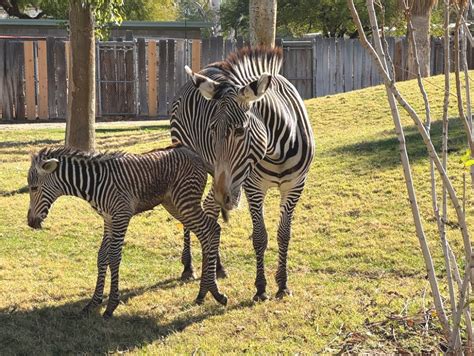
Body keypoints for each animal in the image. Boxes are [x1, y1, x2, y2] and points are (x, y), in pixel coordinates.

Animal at [27, 143, 228, 318]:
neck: (94, 182)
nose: (30, 222)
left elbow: (114, 257)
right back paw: (203, 292)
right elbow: (102, 256)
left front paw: (111, 306)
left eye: (34, 188)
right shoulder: (108, 219)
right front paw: (94, 302)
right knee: (205, 235)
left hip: (185, 202)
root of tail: (194, 154)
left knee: (212, 229)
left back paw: (215, 291)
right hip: (175, 205)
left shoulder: (121, 216)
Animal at [171, 46, 314, 300]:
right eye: (211, 129)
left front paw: (283, 285)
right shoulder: (253, 187)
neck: (277, 150)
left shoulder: (295, 186)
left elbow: (284, 234)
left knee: (209, 208)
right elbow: (259, 237)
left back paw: (217, 267)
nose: (225, 196)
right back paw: (188, 267)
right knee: (191, 212)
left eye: (239, 130)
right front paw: (261, 288)